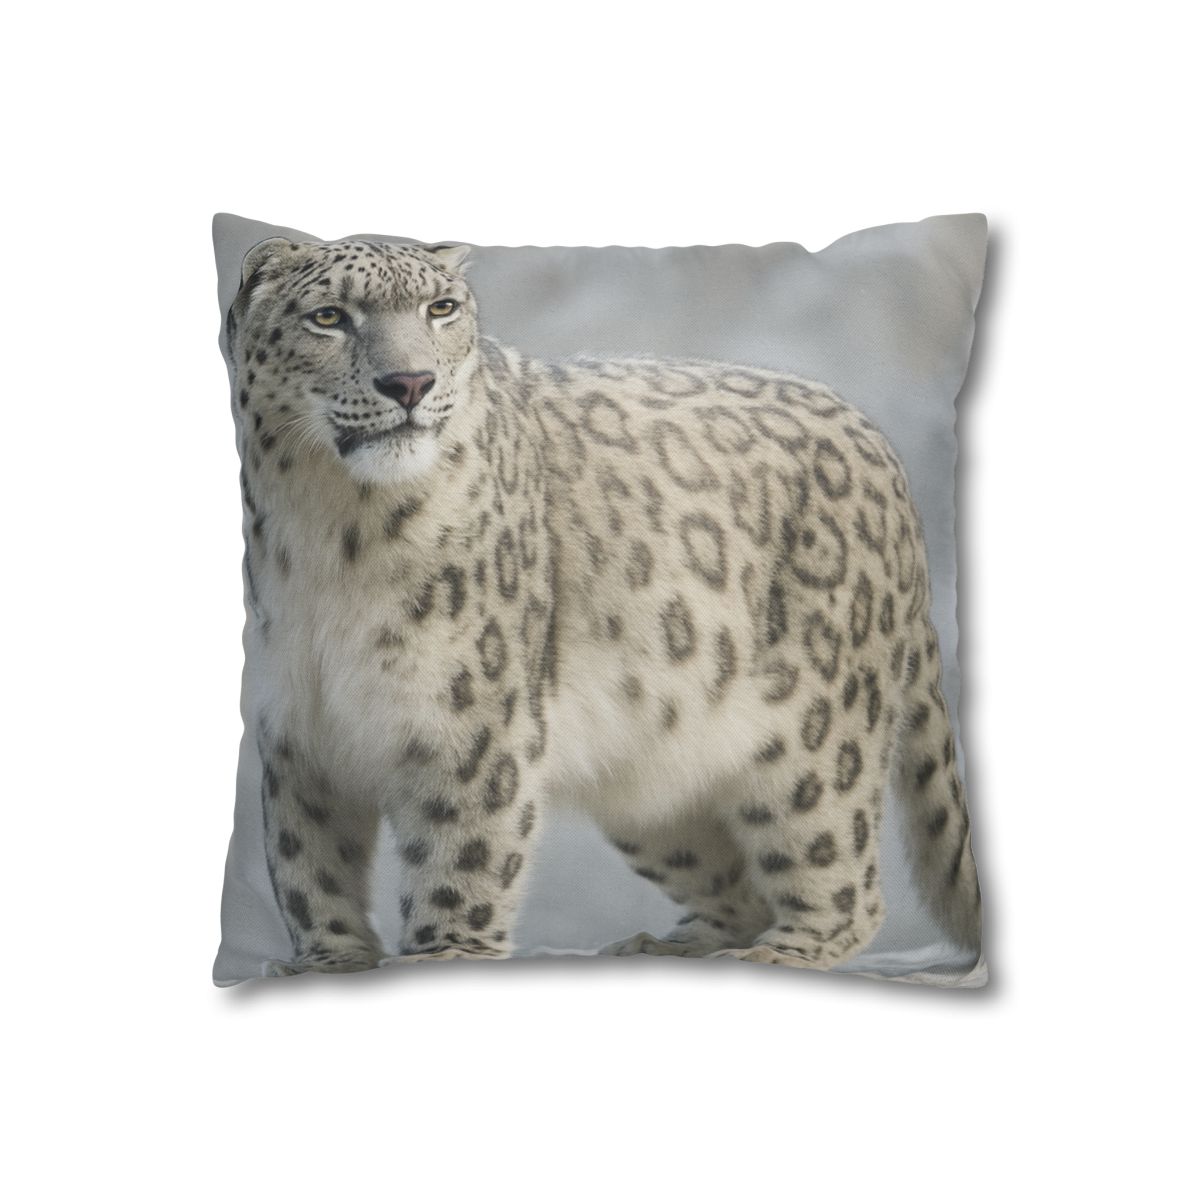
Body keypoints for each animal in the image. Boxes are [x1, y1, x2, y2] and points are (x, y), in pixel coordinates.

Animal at [225, 235, 982, 976]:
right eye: (328, 317)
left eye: (440, 308)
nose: (410, 382)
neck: (330, 532)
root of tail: (880, 449)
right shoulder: (298, 730)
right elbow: (307, 862)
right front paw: (328, 960)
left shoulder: (469, 721)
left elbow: (460, 853)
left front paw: (447, 954)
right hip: (652, 784)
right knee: (731, 882)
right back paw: (667, 945)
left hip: (815, 741)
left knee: (840, 874)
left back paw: (780, 951)